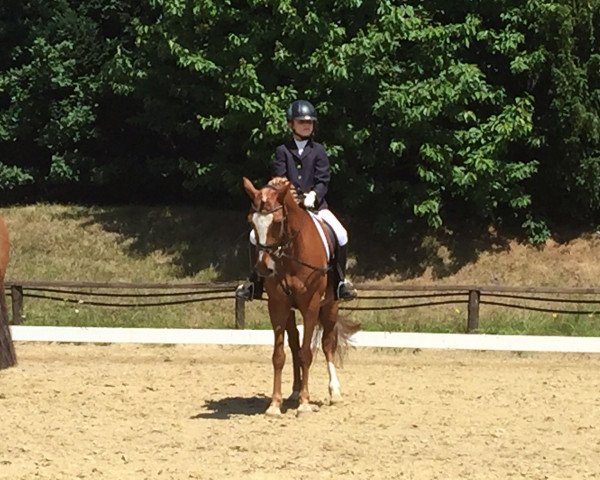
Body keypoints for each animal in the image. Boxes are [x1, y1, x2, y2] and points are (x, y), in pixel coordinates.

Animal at [241, 176, 358, 416]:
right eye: (251, 222)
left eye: (277, 222)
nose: (264, 268)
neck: (289, 255)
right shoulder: (277, 305)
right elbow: (279, 355)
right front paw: (275, 404)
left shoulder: (311, 305)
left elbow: (307, 353)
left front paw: (305, 404)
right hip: (290, 310)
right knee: (294, 343)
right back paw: (294, 392)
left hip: (330, 305)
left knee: (327, 344)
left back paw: (334, 393)